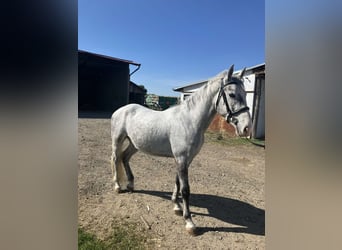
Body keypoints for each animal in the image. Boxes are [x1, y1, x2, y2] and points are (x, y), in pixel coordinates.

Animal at [110, 65, 251, 234]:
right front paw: (189, 221)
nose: (246, 128)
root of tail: (120, 110)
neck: (189, 120)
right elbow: (185, 189)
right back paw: (118, 186)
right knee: (116, 158)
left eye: (246, 93)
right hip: (117, 140)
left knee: (124, 158)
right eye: (232, 94)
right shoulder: (182, 158)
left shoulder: (185, 159)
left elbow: (177, 182)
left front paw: (176, 207)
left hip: (134, 144)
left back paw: (131, 185)